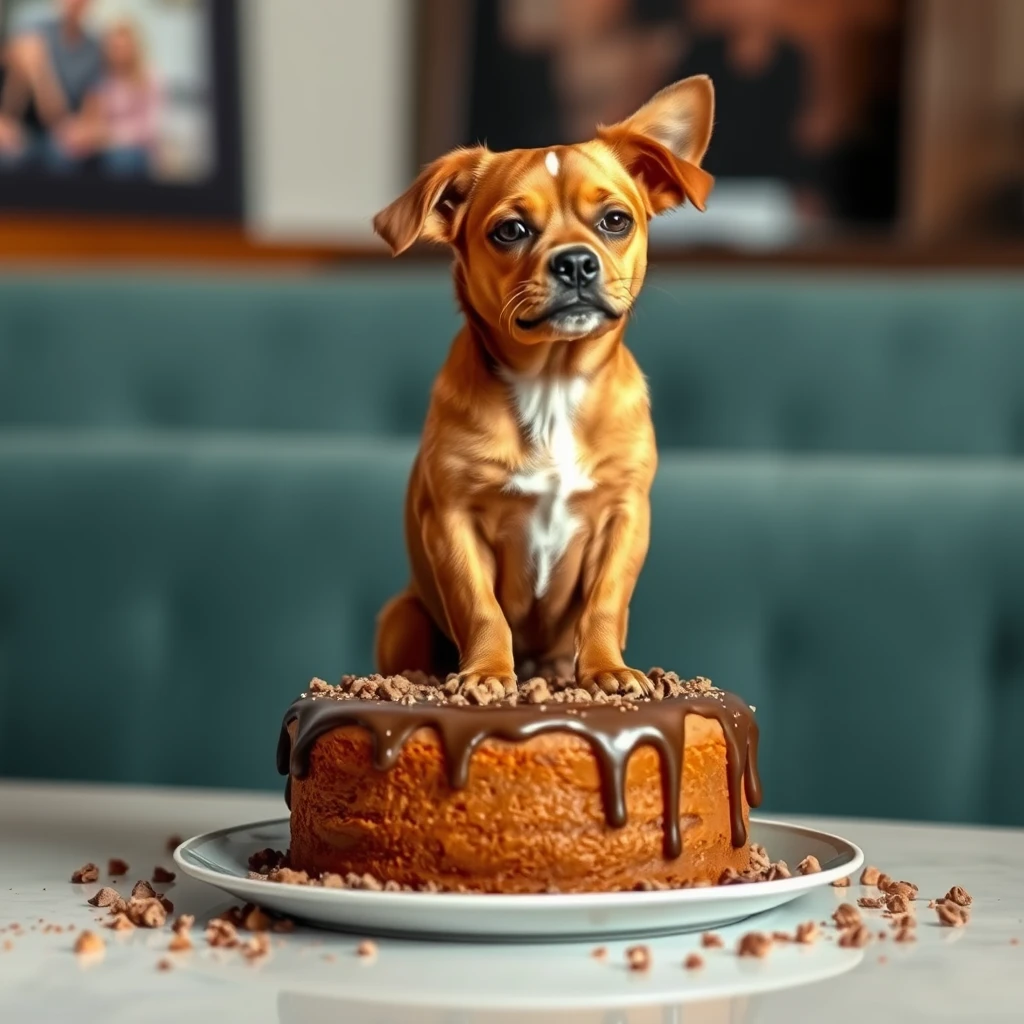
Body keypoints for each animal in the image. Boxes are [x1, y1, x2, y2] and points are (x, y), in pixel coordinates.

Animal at [372, 75, 716, 692]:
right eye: (510, 231)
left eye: (615, 220)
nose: (575, 262)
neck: (553, 384)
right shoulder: (453, 522)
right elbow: (481, 607)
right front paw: (487, 672)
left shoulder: (625, 518)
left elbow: (605, 603)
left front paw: (606, 669)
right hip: (400, 615)